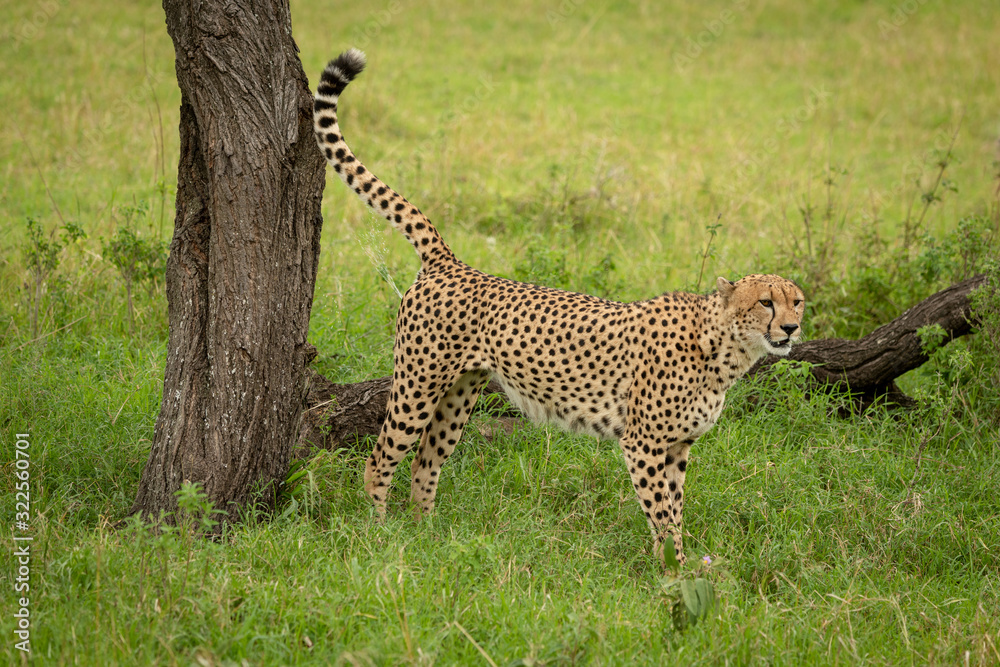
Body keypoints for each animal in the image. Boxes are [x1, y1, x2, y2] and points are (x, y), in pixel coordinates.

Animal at [313, 49, 805, 566]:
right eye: (766, 302)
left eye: (797, 302)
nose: (791, 329)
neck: (722, 349)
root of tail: (452, 262)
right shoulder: (644, 443)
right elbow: (662, 512)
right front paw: (673, 570)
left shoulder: (677, 446)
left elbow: (674, 510)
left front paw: (677, 563)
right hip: (418, 383)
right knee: (381, 457)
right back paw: (378, 535)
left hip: (460, 393)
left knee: (425, 462)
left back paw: (425, 535)